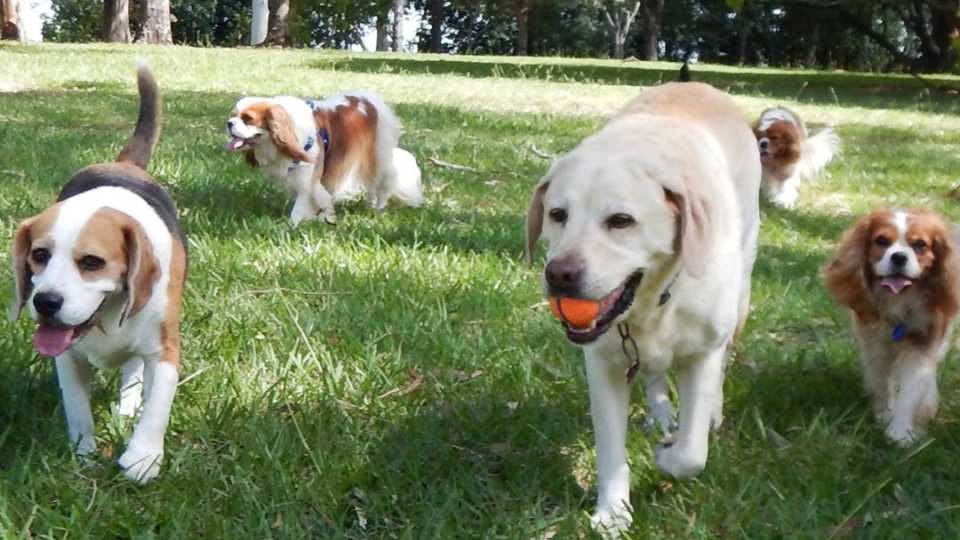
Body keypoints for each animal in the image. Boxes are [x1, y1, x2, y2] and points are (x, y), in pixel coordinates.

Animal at [10, 64, 187, 486]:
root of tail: (124, 165)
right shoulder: (66, 357)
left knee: (134, 370)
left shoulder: (164, 349)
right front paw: (84, 452)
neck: (104, 318)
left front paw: (143, 457)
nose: (45, 302)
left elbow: (158, 403)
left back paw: (127, 407)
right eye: (39, 255)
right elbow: (77, 407)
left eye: (91, 262)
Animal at [227, 91, 422, 226]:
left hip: (378, 157)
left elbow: (300, 207)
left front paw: (289, 226)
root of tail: (370, 98)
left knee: (383, 181)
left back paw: (378, 206)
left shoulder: (307, 181)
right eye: (233, 115)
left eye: (248, 119)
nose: (229, 123)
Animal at [524, 82, 756, 532]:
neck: (652, 302)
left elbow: (691, 454)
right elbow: (611, 448)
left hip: (740, 294)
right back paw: (662, 413)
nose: (559, 274)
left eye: (620, 220)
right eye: (557, 214)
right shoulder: (603, 364)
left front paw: (668, 456)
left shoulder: (702, 351)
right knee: (653, 373)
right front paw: (613, 513)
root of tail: (696, 83)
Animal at [820, 209, 956, 446]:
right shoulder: (874, 346)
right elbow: (881, 382)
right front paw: (883, 415)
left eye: (920, 245)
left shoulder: (921, 348)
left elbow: (911, 391)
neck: (898, 300)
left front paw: (900, 433)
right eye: (882, 241)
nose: (899, 257)